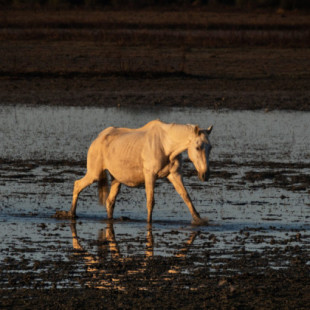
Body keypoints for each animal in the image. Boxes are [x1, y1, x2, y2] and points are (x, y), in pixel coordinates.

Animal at [55, 120, 212, 224]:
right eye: (198, 147)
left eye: (210, 147)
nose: (205, 175)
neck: (166, 145)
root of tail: (98, 138)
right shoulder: (150, 176)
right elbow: (150, 201)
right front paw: (149, 223)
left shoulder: (174, 175)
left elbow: (186, 197)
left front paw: (199, 219)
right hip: (94, 173)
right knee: (77, 185)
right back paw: (71, 214)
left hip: (116, 179)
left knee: (110, 201)